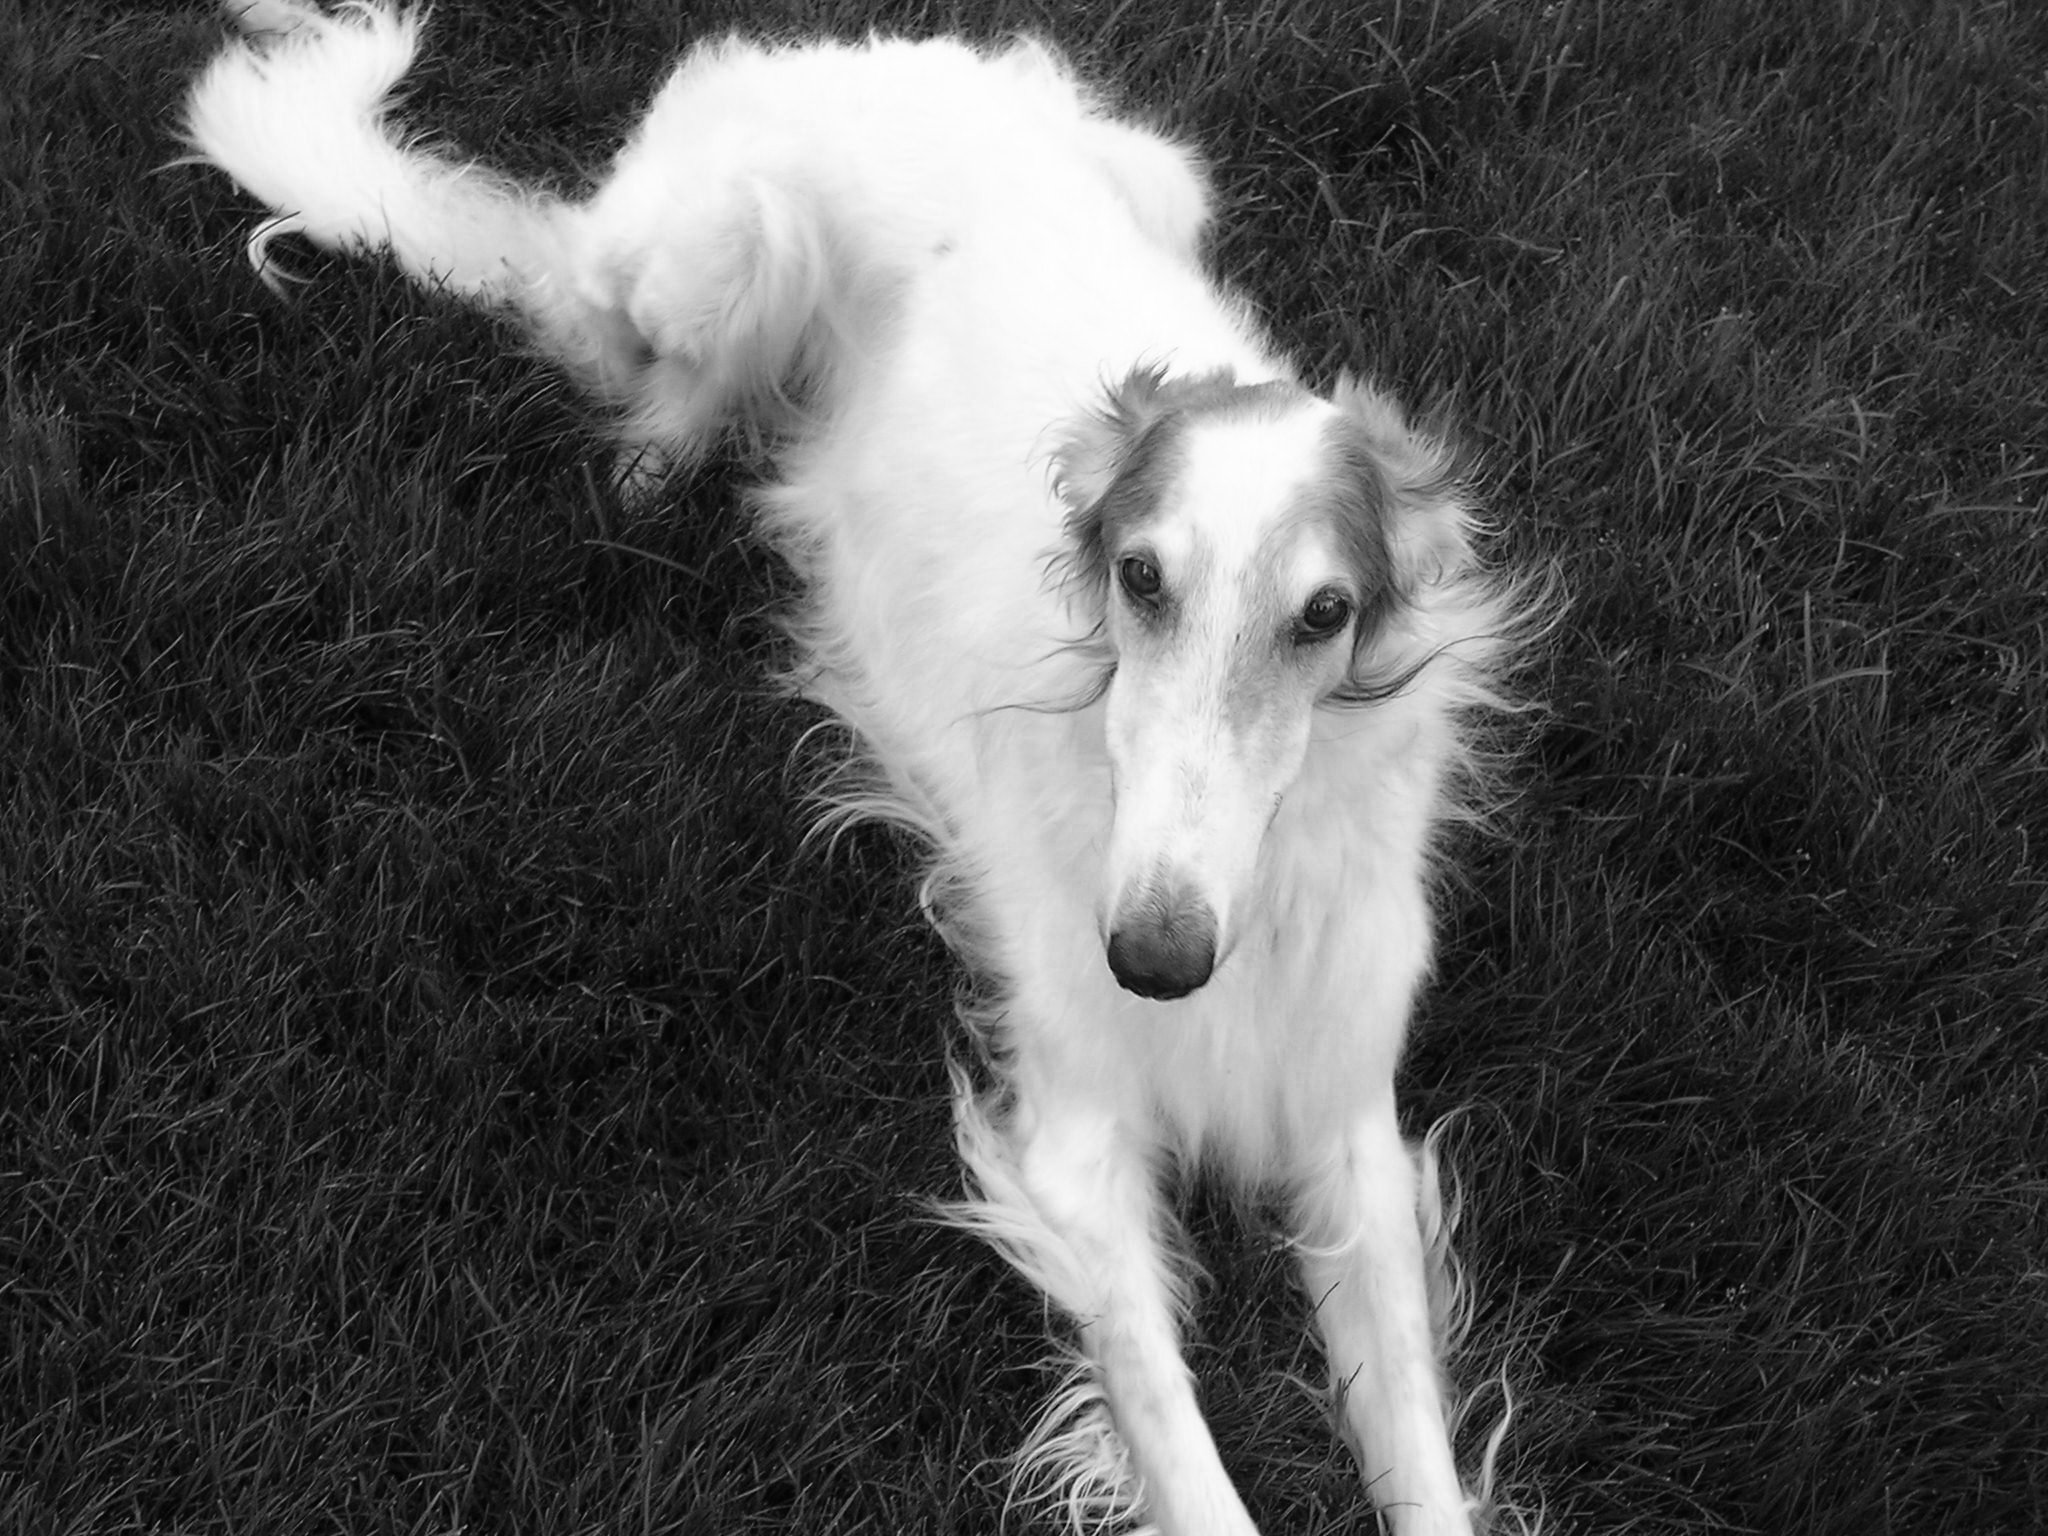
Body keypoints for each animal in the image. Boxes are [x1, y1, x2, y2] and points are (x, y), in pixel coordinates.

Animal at [188, 6, 1523, 1531]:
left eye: (1325, 614)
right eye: (1139, 578)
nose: (1155, 962)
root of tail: (841, 46)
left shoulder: (1347, 1123)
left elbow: (1422, 1465)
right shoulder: (1075, 1137)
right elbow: (1190, 1467)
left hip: (1164, 179)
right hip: (735, 254)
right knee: (649, 398)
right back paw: (662, 499)